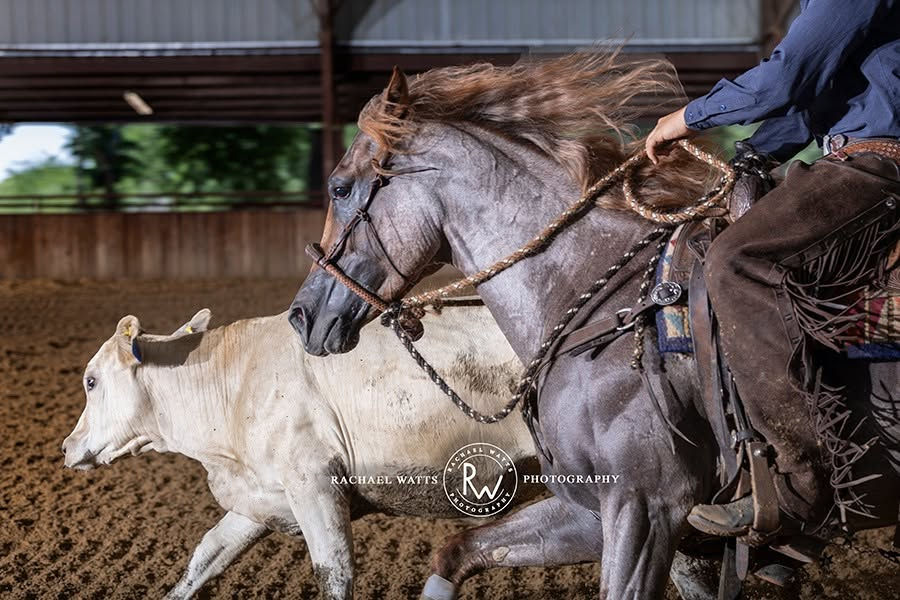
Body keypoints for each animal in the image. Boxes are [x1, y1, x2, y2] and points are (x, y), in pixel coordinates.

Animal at [288, 51, 900, 599]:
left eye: (340, 187)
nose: (301, 315)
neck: (599, 301)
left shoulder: (645, 506)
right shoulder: (590, 509)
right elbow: (458, 551)